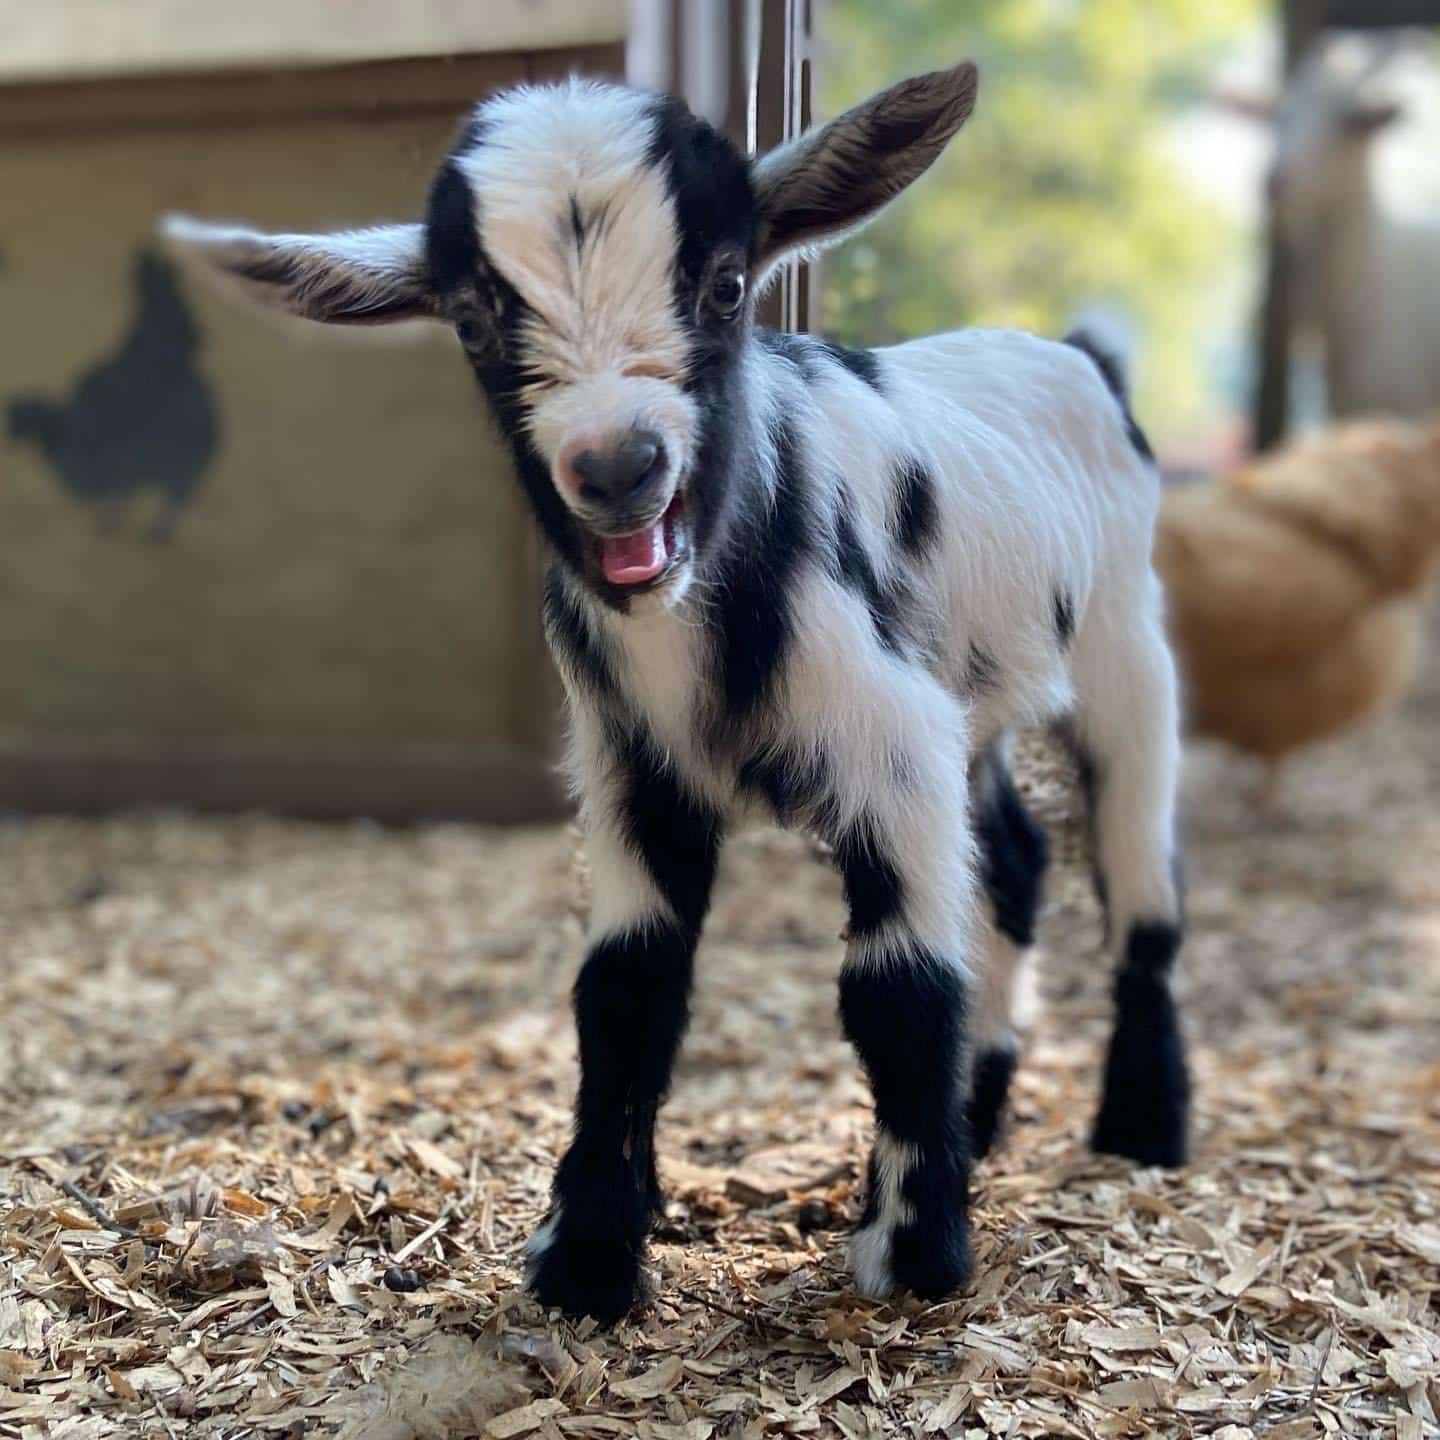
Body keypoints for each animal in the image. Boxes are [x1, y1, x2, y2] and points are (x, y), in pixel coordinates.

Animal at [165, 70, 1192, 1324]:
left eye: (727, 281)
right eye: (472, 320)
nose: (618, 466)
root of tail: (1080, 354)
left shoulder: (890, 742)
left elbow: (897, 989)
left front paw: (913, 1252)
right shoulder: (631, 772)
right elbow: (625, 995)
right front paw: (588, 1254)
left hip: (1126, 656)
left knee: (1140, 885)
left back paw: (1143, 1126)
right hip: (979, 696)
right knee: (1014, 858)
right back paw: (984, 1116)